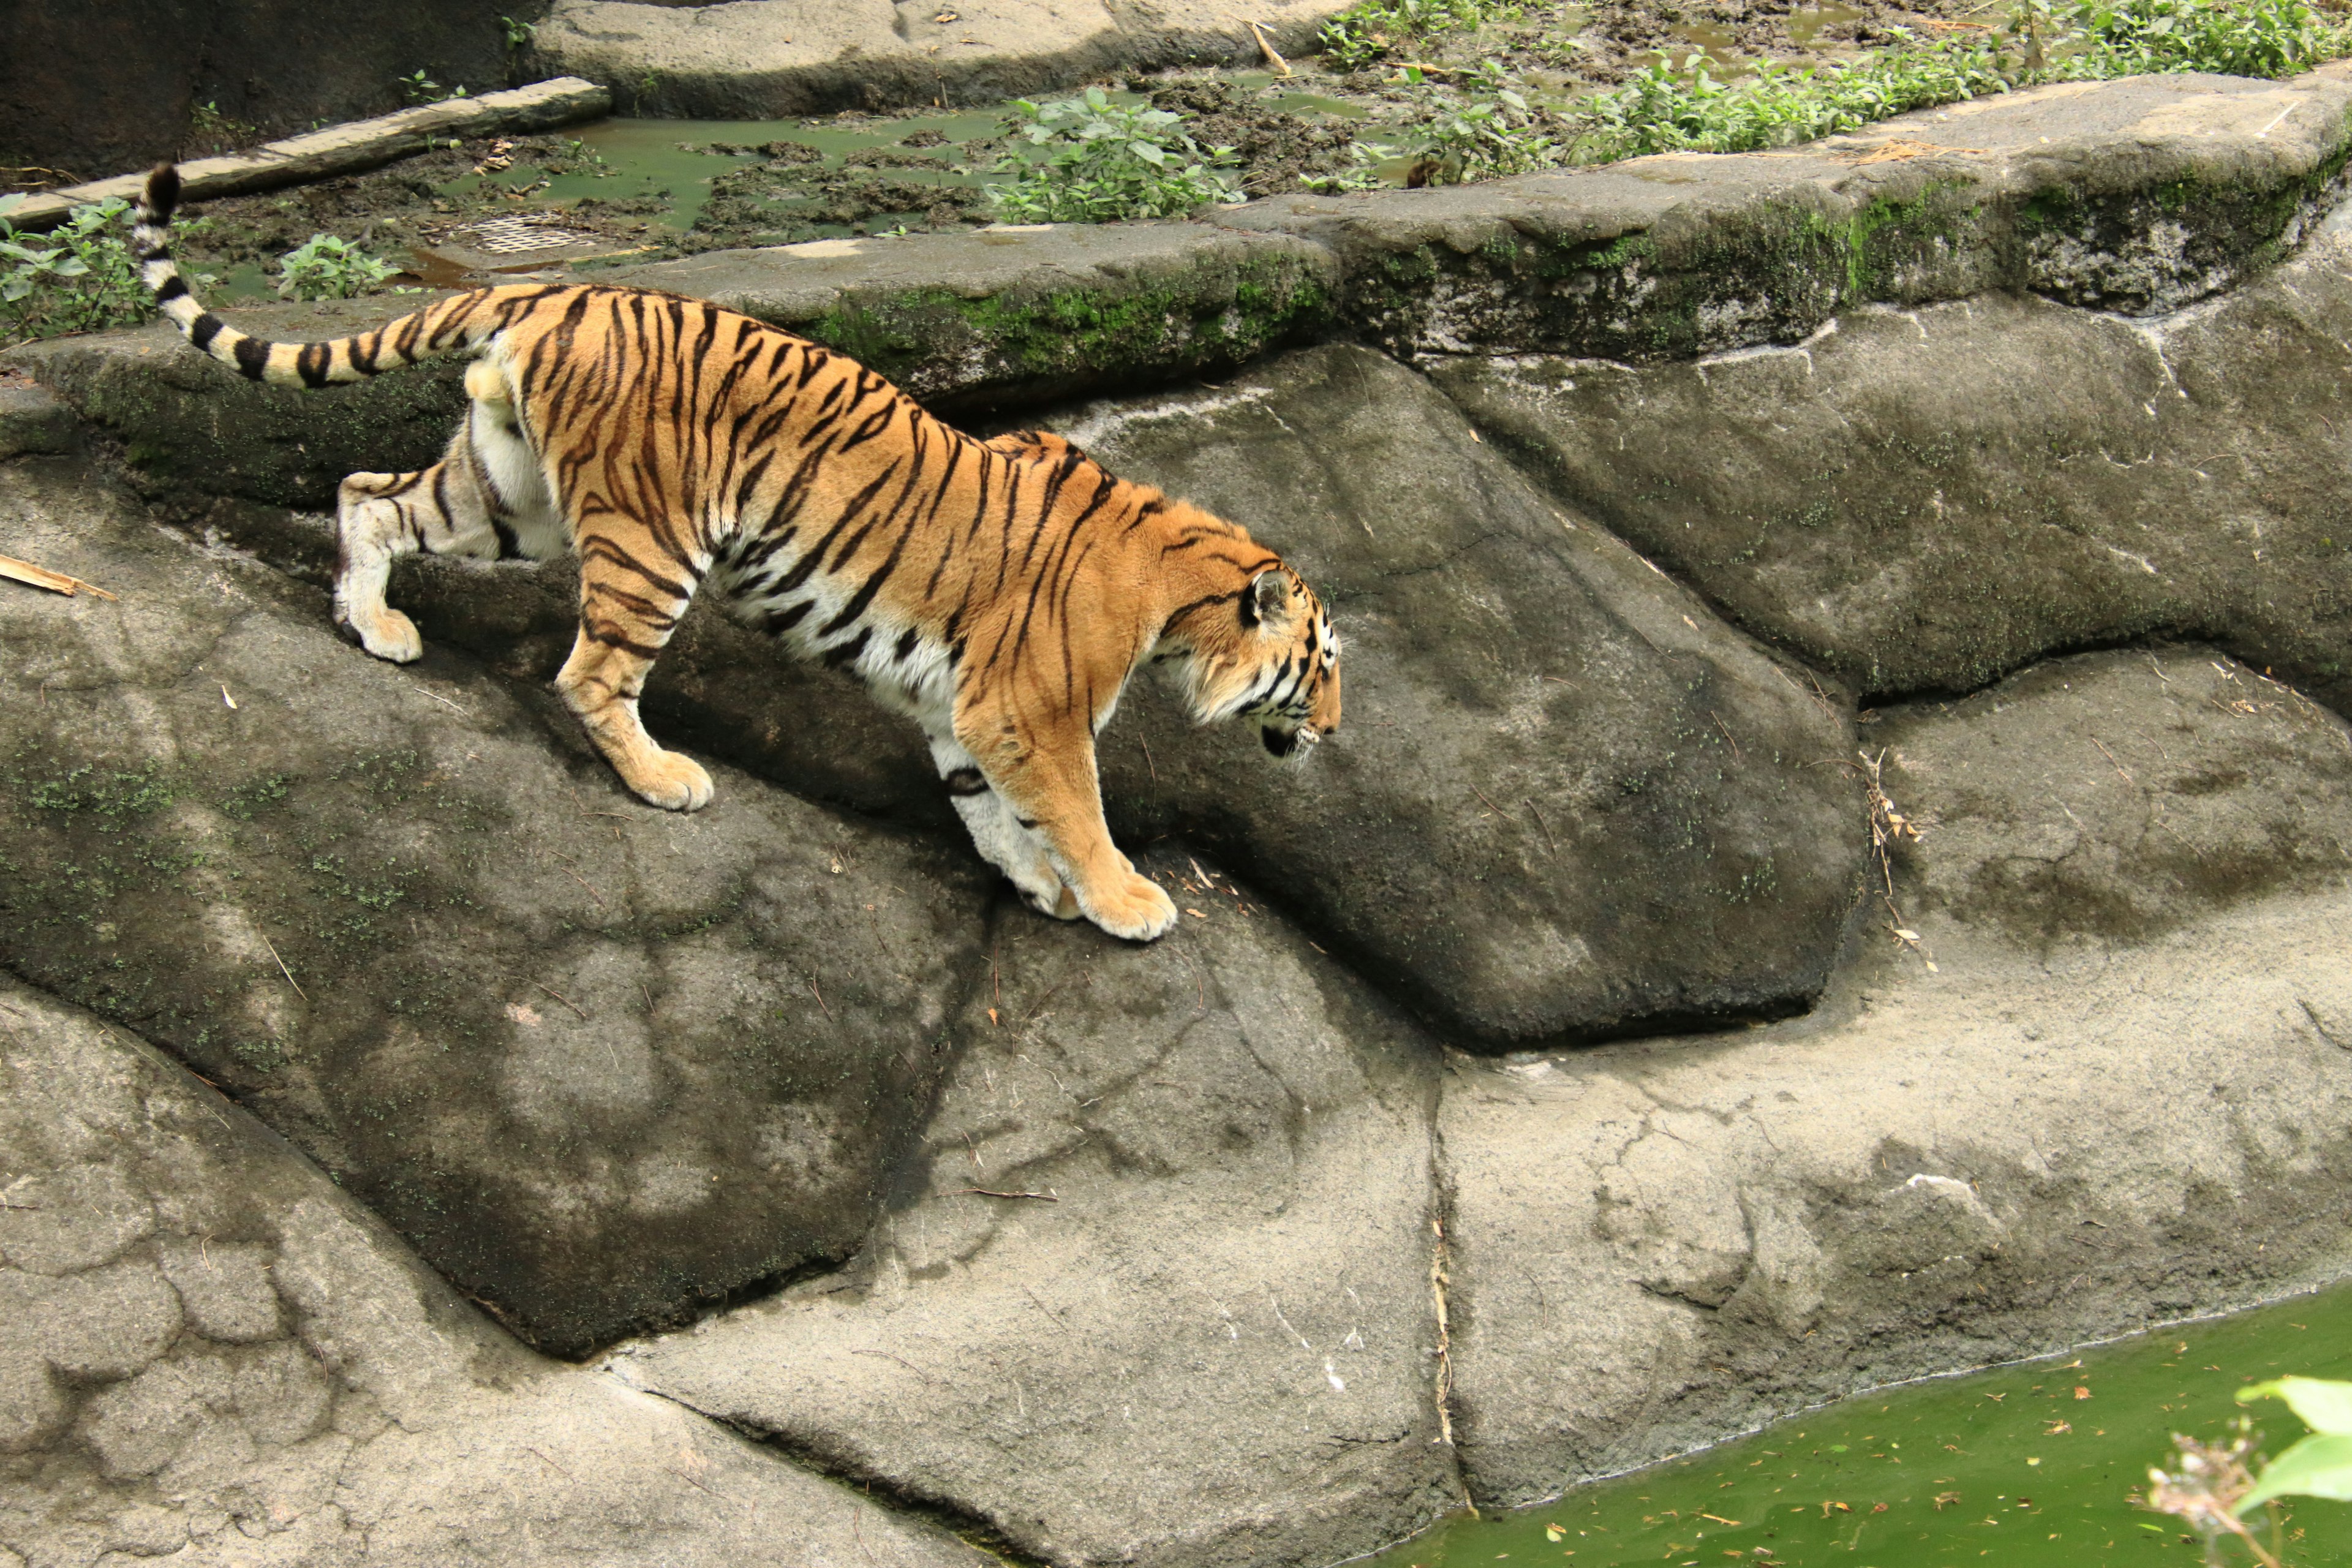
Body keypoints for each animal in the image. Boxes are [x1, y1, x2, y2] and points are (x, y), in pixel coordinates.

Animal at [129, 164, 1345, 940]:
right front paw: (1125, 900)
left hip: (506, 496)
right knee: (589, 673)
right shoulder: (1030, 710)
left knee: (366, 497)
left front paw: (1041, 888)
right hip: (647, 542)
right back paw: (664, 779)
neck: (1179, 604)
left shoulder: (965, 710)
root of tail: (560, 286)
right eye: (1322, 667)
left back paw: (373, 624)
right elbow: (1078, 812)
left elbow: (988, 810)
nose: (1335, 733)